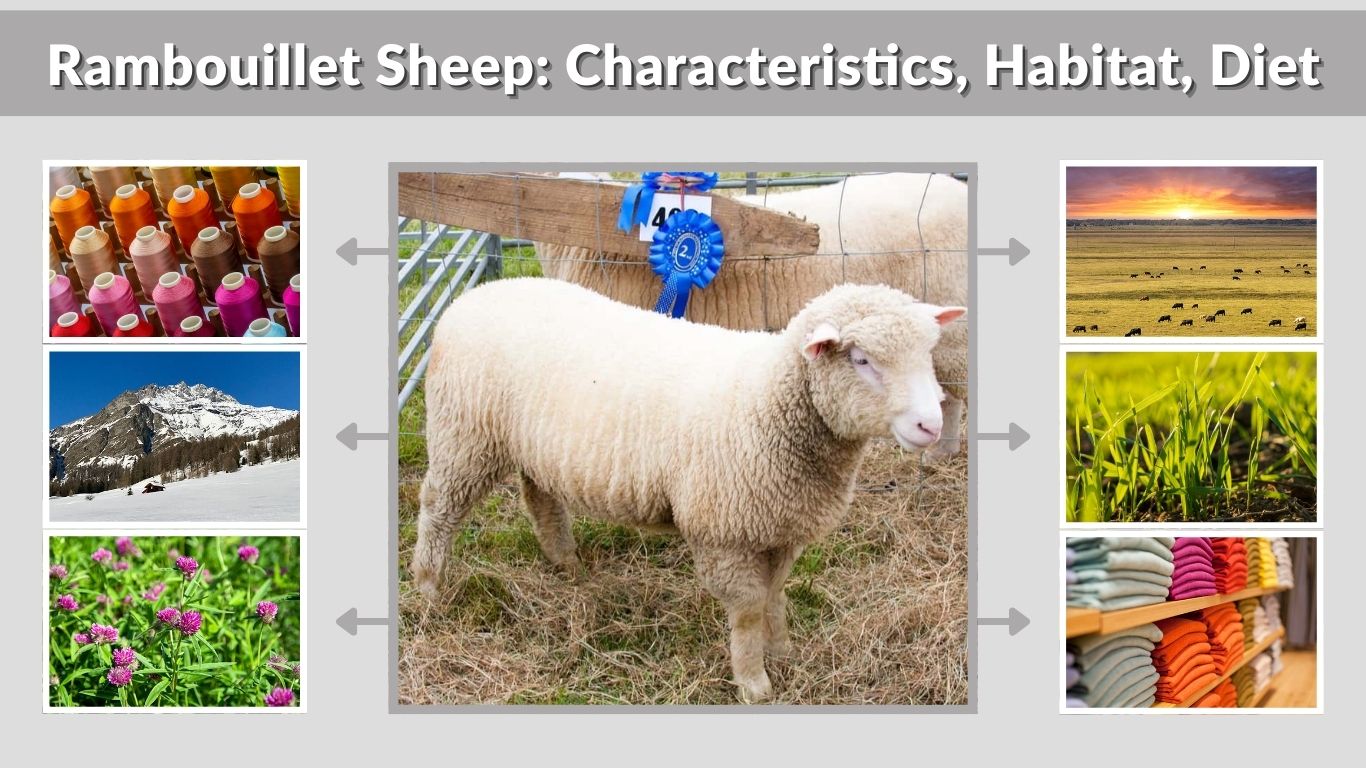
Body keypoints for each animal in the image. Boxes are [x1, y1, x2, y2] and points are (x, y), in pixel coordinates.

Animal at [412, 278, 965, 703]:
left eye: (926, 353)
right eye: (860, 359)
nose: (930, 425)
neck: (768, 401)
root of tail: (474, 295)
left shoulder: (781, 527)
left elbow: (775, 594)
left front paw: (782, 650)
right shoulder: (724, 532)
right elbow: (748, 609)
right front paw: (754, 682)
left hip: (532, 447)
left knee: (541, 500)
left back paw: (567, 564)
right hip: (463, 435)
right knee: (438, 509)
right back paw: (429, 589)